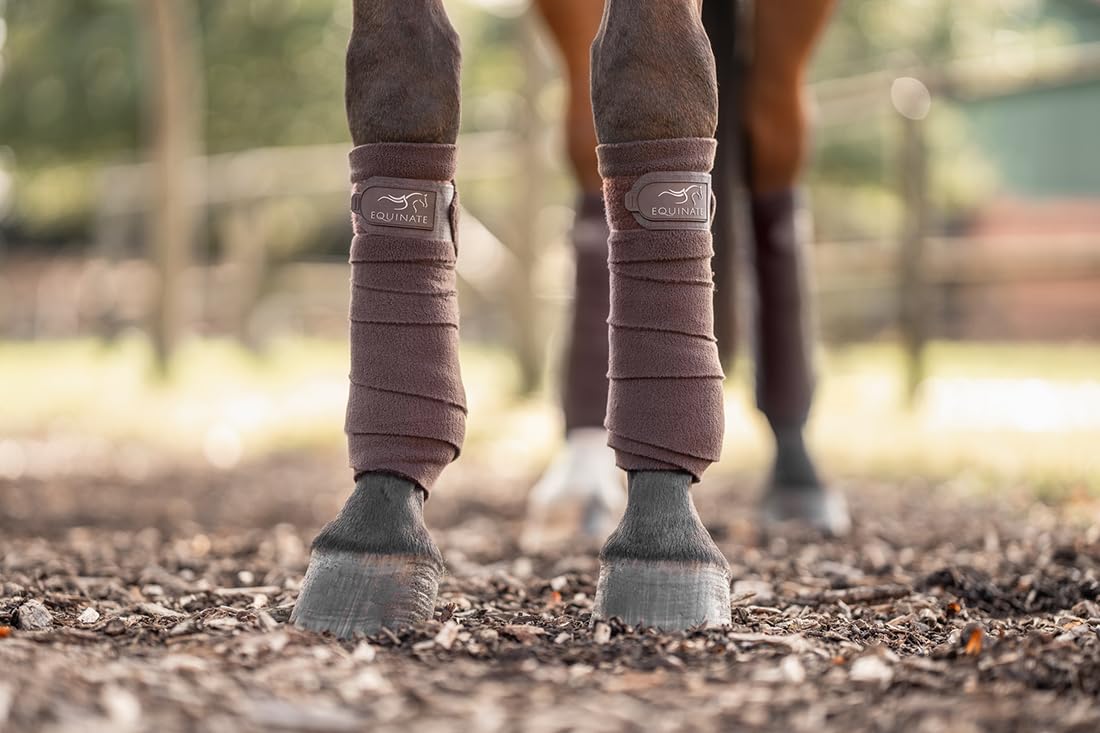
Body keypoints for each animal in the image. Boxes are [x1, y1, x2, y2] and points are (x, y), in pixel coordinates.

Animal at [290, 0, 847, 639]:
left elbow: (652, 83)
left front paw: (663, 537)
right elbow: (400, 85)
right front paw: (375, 523)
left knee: (773, 142)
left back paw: (799, 475)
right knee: (589, 155)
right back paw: (581, 477)